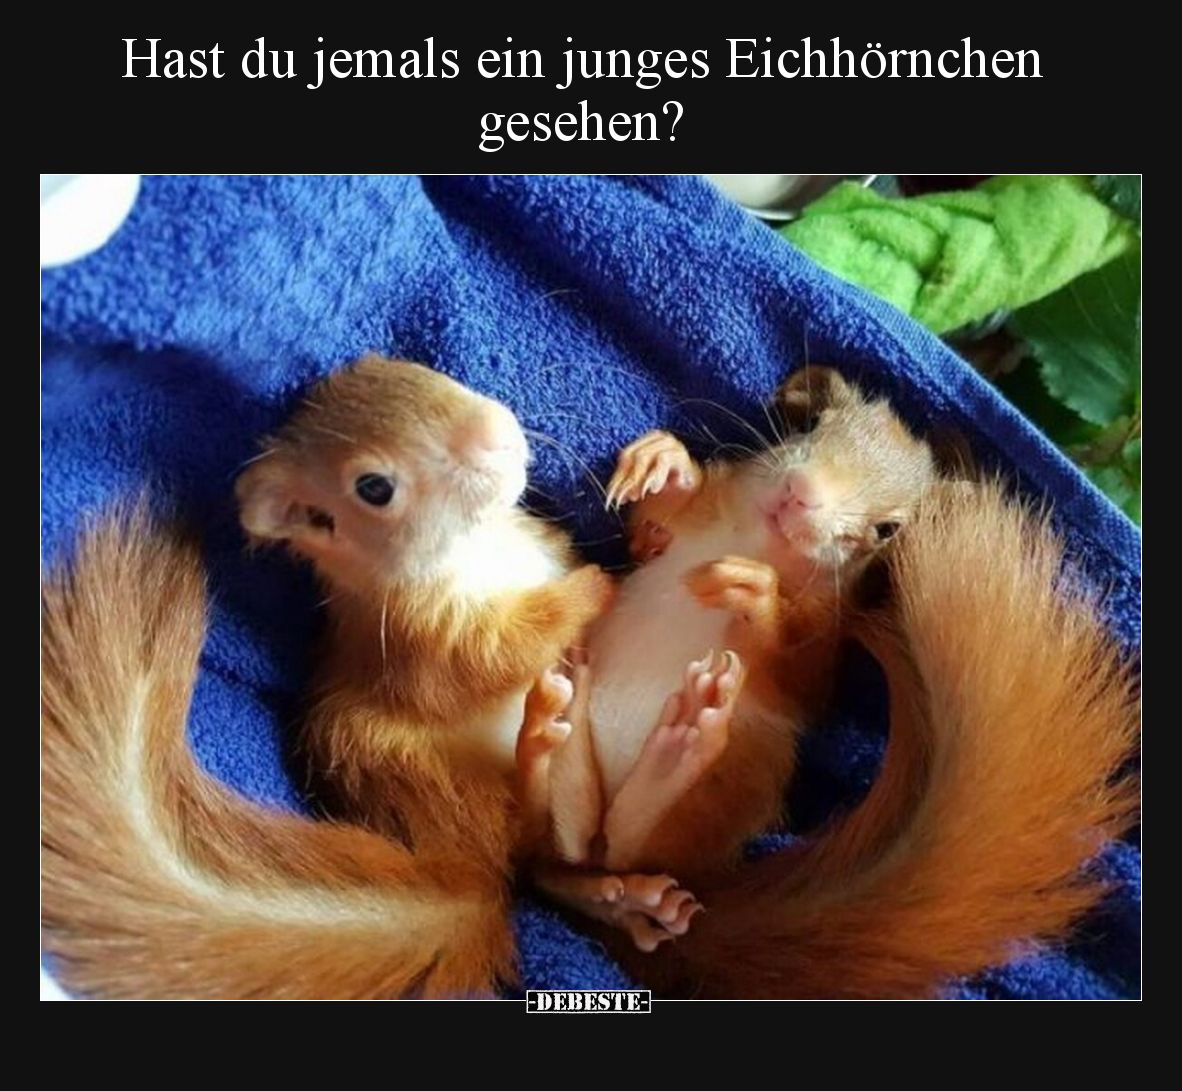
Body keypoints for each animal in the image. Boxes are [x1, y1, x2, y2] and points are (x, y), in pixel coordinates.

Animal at [40, 358, 1139, 998]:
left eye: (886, 531)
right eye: (804, 436)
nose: (798, 504)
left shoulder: (821, 651)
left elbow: (797, 652)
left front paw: (754, 596)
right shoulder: (432, 635)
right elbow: (621, 553)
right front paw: (653, 479)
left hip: (735, 771)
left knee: (626, 830)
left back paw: (674, 758)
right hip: (492, 799)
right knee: (567, 838)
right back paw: (571, 768)